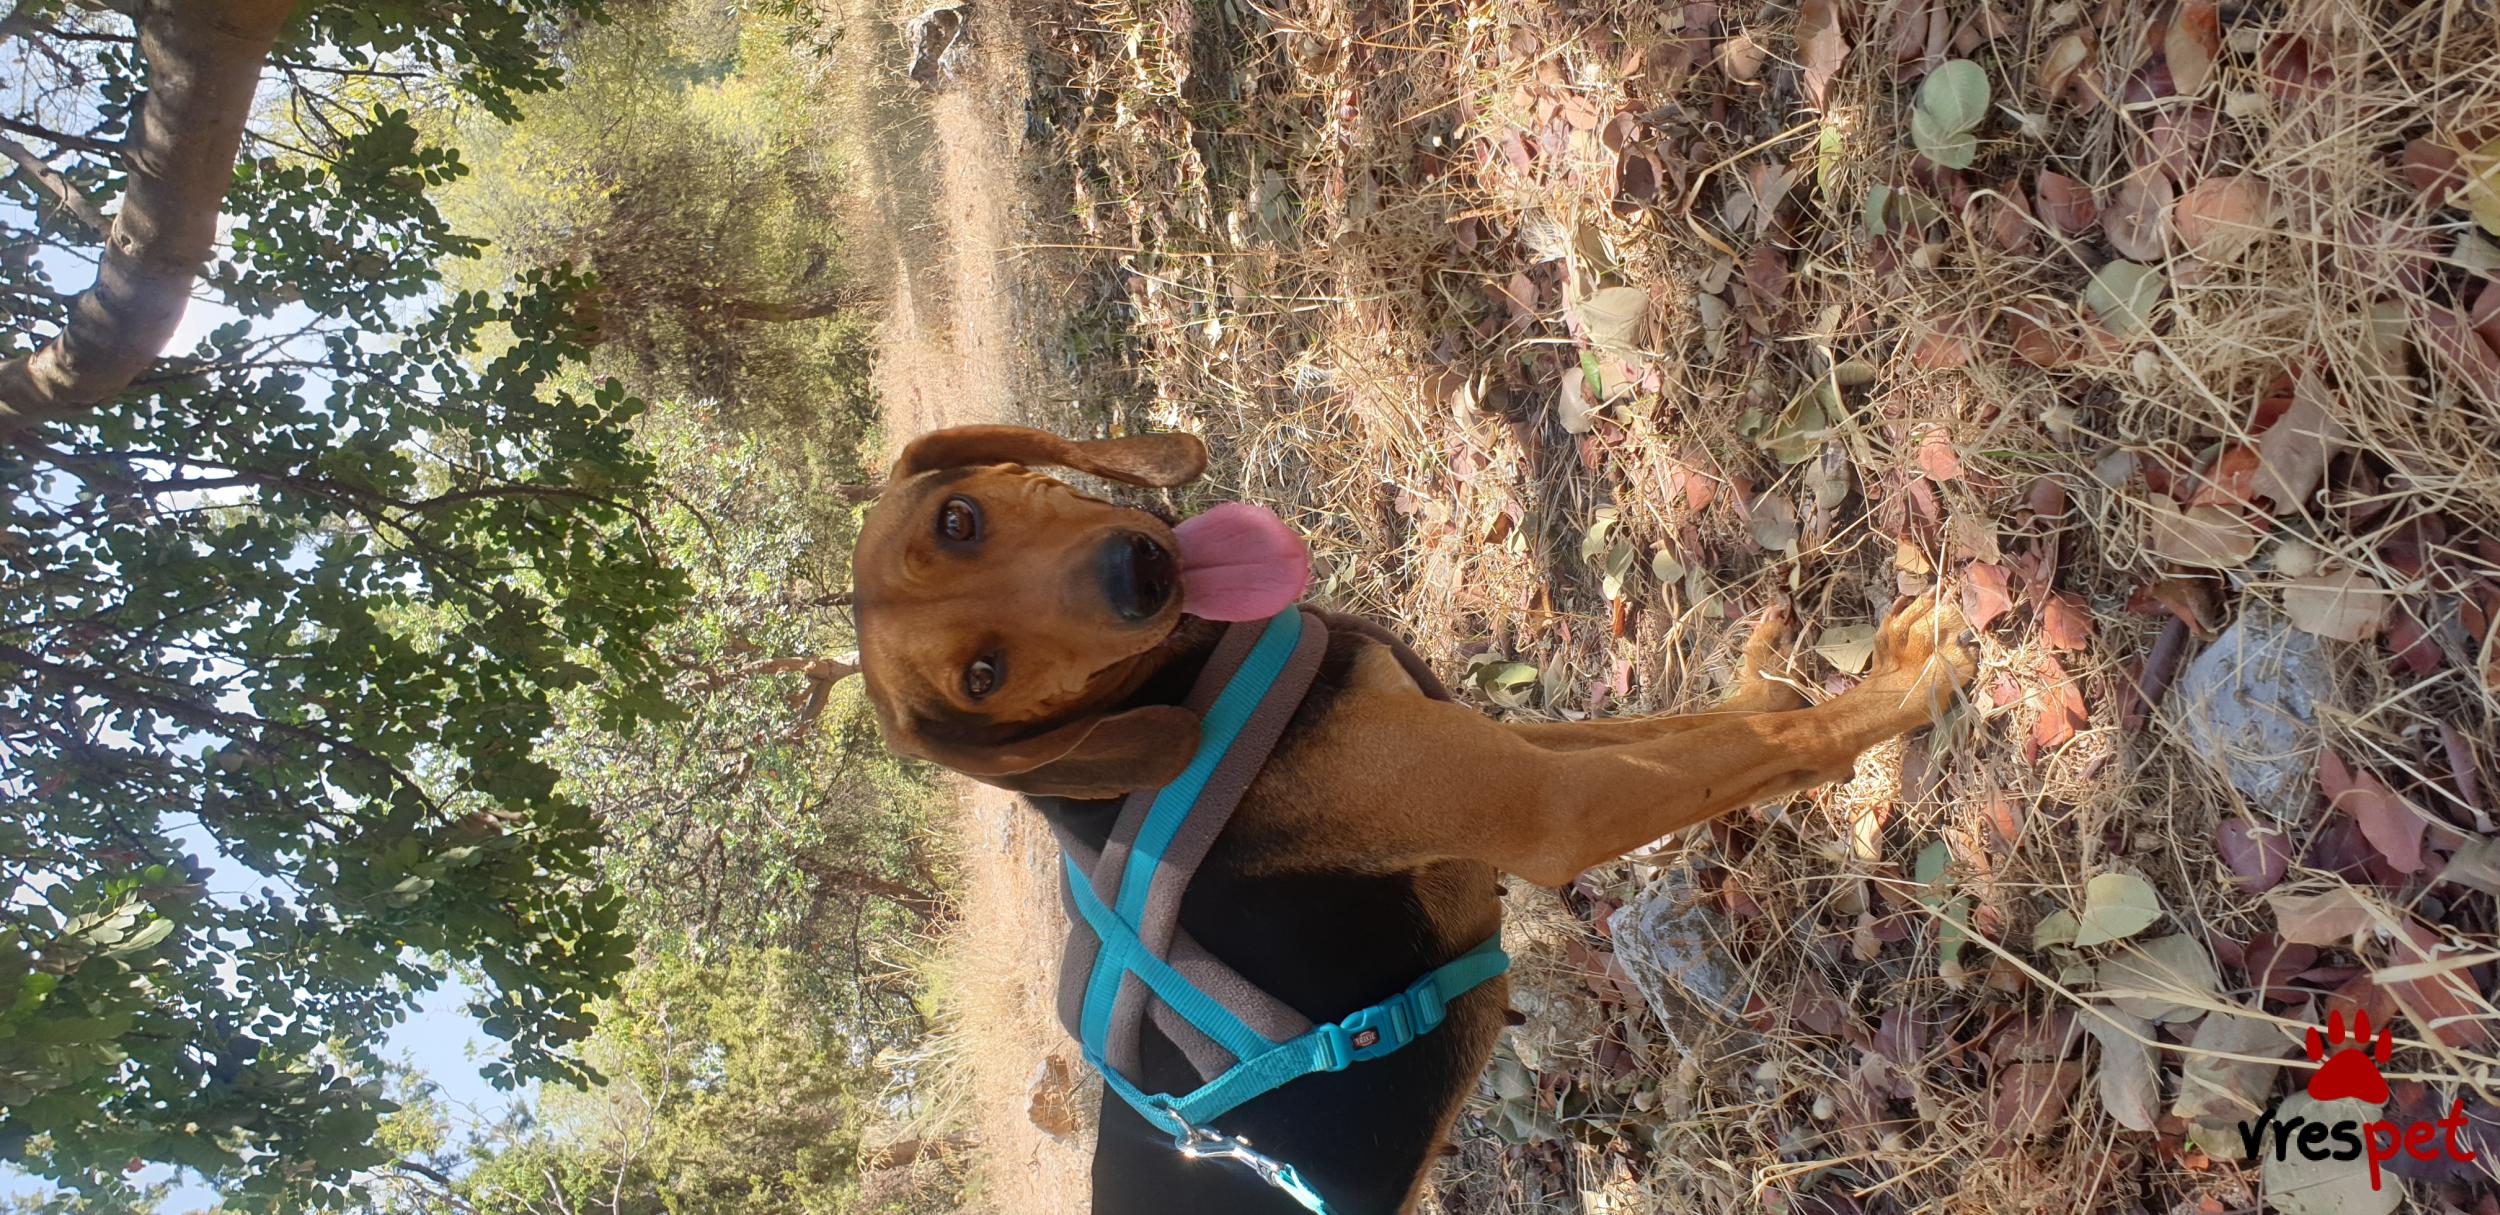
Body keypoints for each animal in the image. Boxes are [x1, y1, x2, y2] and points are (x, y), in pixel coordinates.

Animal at [851, 425, 1978, 1214]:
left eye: (960, 519)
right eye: (981, 676)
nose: (1138, 574)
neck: (1175, 690)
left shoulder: (1495, 749)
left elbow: (1716, 723)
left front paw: (1768, 680)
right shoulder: (1556, 812)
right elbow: (1792, 741)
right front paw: (1908, 687)